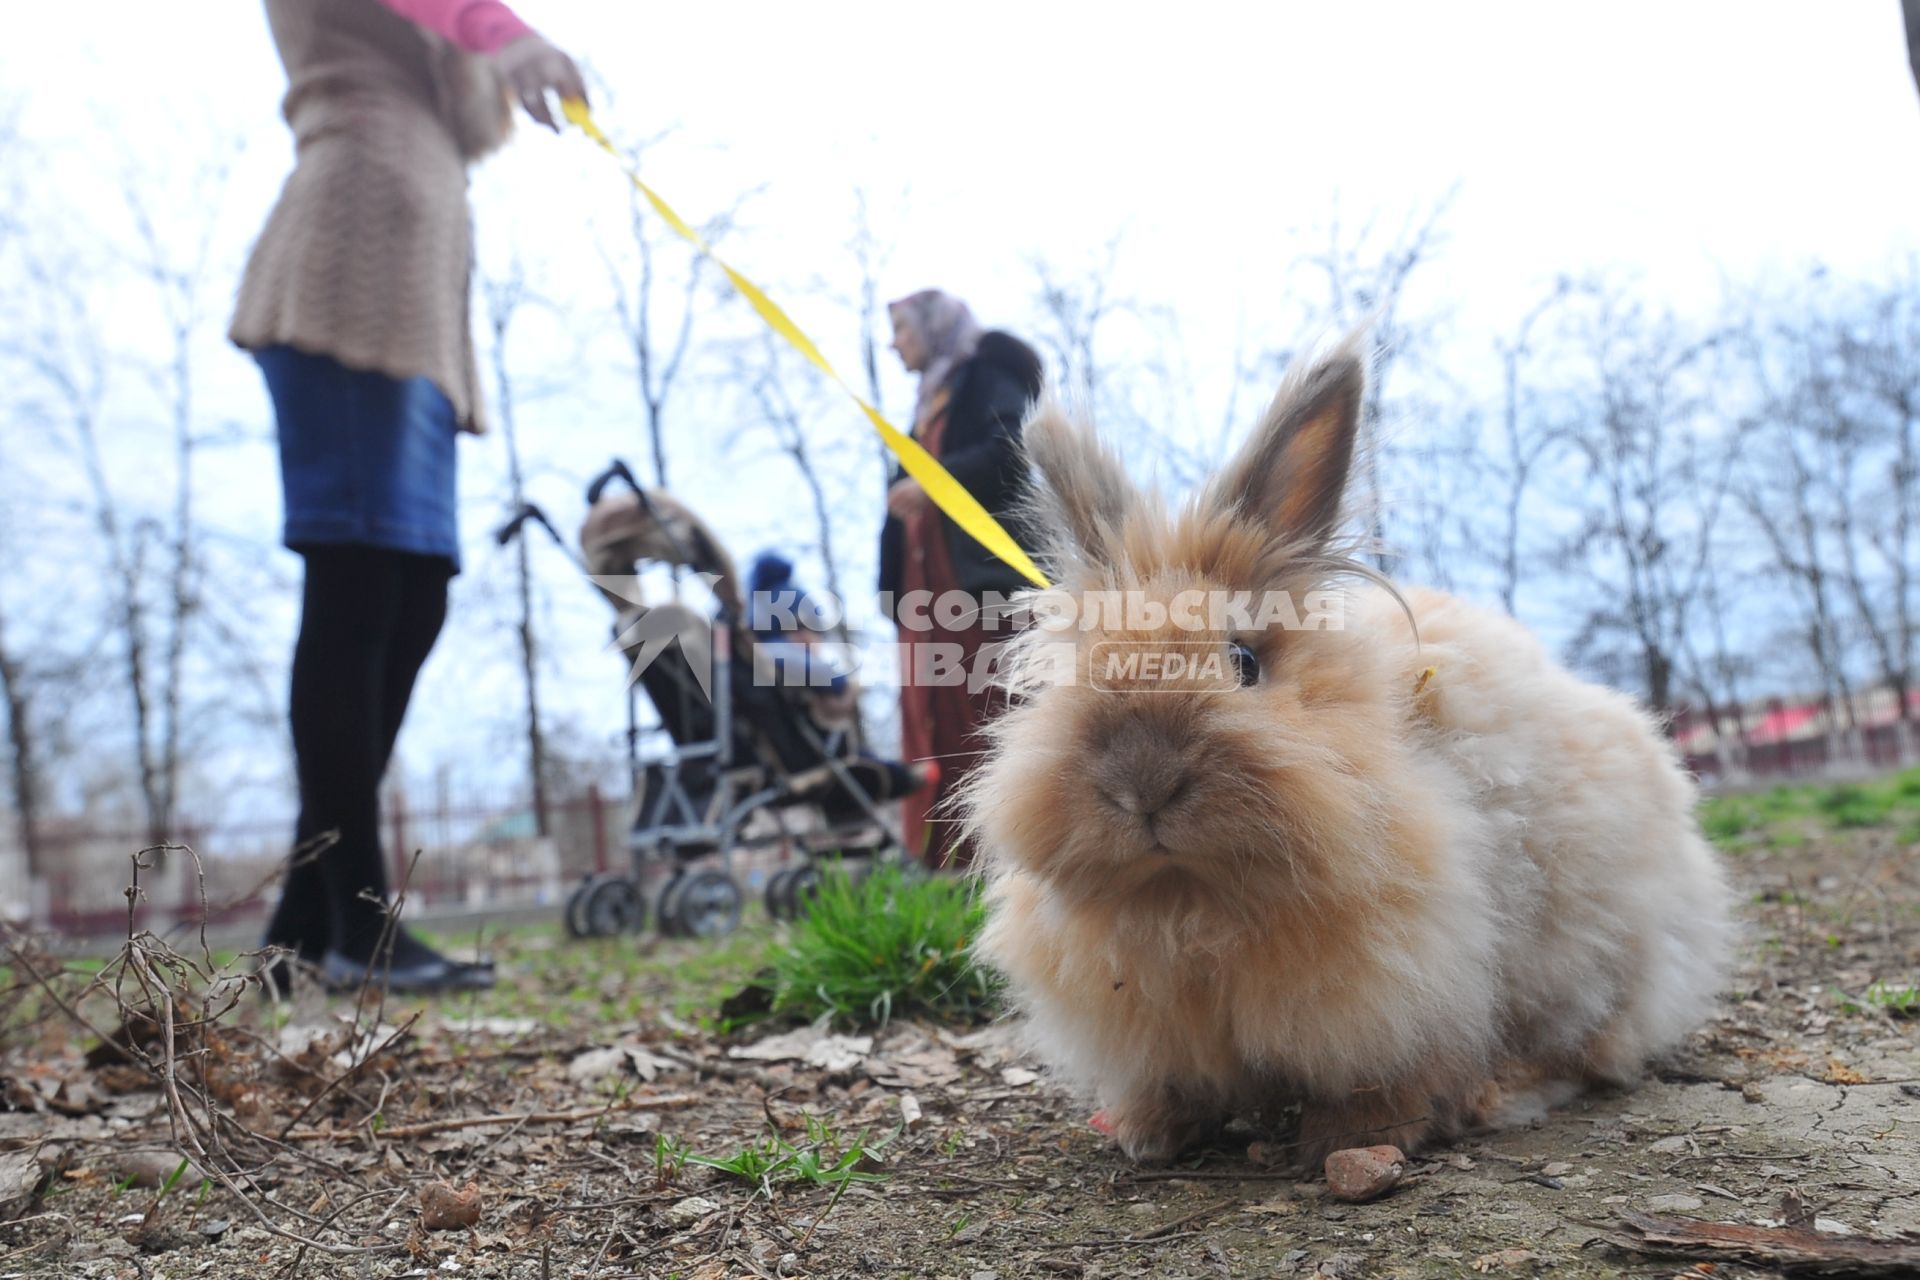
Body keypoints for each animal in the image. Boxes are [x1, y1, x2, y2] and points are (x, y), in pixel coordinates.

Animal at [967, 345, 1735, 1166]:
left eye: (1244, 661)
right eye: (1085, 666)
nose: (1144, 784)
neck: (1192, 900)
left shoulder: (1414, 973)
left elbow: (1397, 1069)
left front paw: (1355, 1134)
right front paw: (1150, 1133)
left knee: (1593, 1046)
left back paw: (1498, 1093)